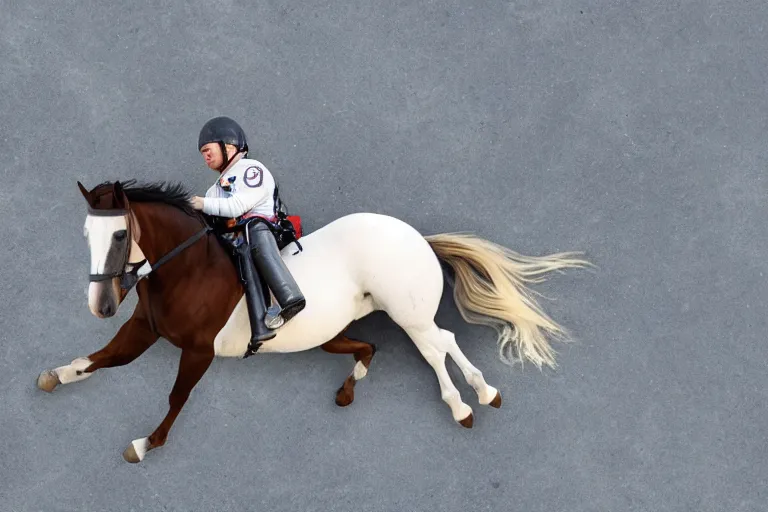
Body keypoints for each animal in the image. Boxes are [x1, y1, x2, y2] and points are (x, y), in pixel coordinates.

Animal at [36, 181, 592, 464]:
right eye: (86, 232)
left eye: (119, 235)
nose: (101, 305)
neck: (186, 267)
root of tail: (419, 239)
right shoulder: (144, 330)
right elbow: (102, 360)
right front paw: (54, 376)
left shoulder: (196, 350)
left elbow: (176, 397)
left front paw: (145, 444)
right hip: (351, 328)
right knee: (420, 342)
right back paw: (477, 392)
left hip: (407, 313)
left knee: (436, 347)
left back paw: (465, 404)